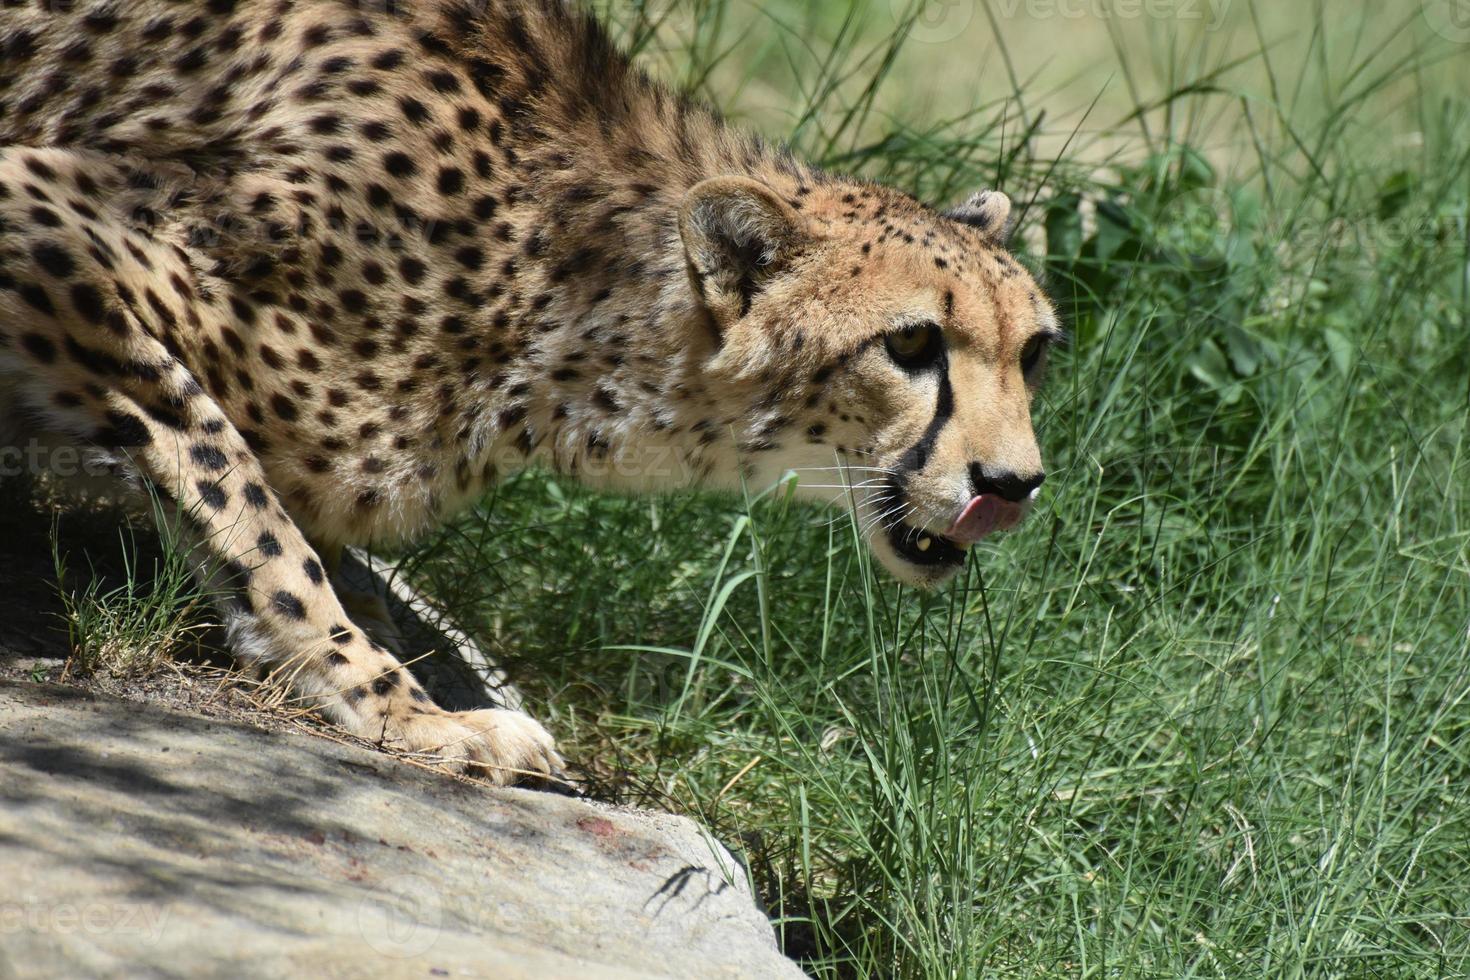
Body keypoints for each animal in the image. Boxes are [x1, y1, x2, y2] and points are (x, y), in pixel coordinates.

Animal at [0, 0, 1058, 781]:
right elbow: (241, 494)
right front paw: (391, 700)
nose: (1012, 486)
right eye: (911, 341)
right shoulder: (42, 205)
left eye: (1036, 352)